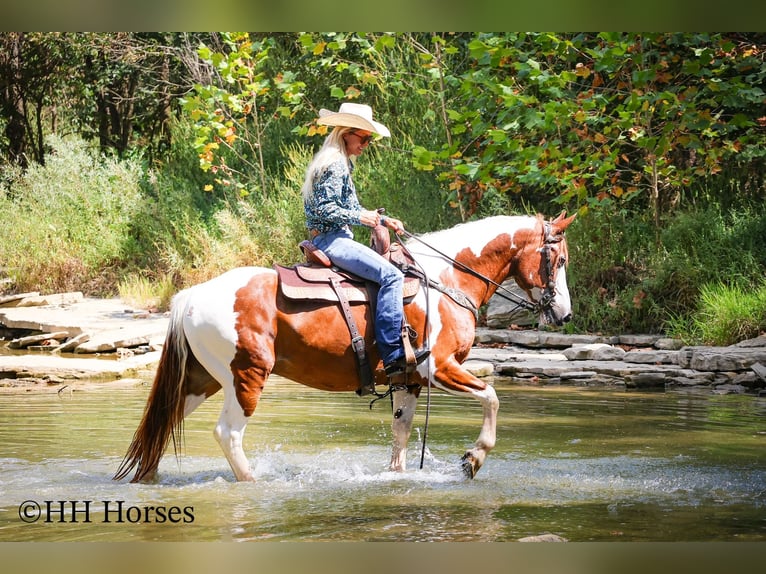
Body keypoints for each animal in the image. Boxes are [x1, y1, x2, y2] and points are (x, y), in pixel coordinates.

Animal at [114, 211, 576, 483]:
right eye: (561, 260)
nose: (566, 314)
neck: (445, 280)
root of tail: (190, 296)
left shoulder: (409, 380)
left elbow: (401, 433)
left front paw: (398, 476)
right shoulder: (439, 368)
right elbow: (493, 397)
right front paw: (473, 459)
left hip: (200, 380)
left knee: (163, 421)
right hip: (245, 377)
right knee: (228, 433)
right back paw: (255, 483)